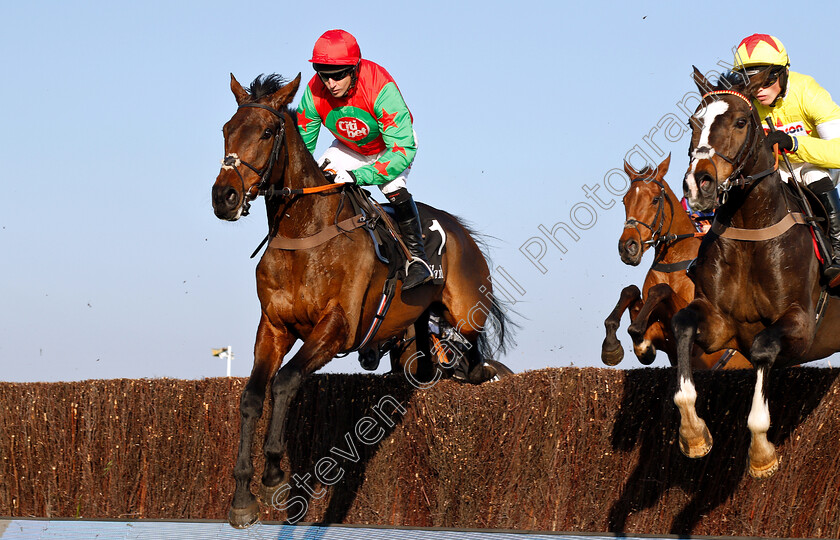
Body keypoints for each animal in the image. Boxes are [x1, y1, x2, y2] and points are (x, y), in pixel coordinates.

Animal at [210, 74, 512, 524]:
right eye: (227, 129)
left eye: (266, 132)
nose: (224, 197)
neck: (305, 234)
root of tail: (460, 229)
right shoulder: (274, 328)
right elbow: (251, 396)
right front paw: (243, 498)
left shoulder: (337, 327)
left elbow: (285, 381)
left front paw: (274, 471)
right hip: (415, 329)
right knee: (427, 361)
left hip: (465, 312)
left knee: (472, 355)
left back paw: (481, 370)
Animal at [604, 154, 748, 370]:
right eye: (625, 200)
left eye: (655, 199)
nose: (628, 247)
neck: (672, 264)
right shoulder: (660, 339)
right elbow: (631, 291)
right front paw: (612, 345)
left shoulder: (700, 343)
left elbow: (661, 289)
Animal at [672, 66, 840, 476]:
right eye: (693, 122)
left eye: (740, 121)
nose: (699, 184)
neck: (751, 229)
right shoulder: (720, 323)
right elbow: (682, 325)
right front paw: (694, 435)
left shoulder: (800, 324)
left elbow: (764, 348)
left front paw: (763, 454)